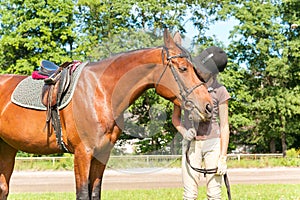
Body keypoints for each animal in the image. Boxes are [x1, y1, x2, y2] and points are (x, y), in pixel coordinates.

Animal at [0, 28, 211, 199]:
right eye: (183, 68)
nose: (208, 106)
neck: (101, 91)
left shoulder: (102, 154)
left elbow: (95, 192)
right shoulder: (82, 154)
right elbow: (83, 194)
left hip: (7, 148)